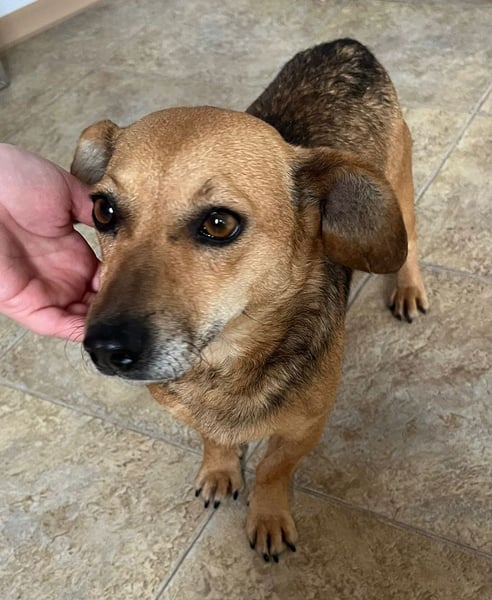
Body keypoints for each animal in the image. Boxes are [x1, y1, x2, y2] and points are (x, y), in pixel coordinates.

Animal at [71, 38, 428, 562]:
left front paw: (268, 516)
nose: (105, 350)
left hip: (399, 193)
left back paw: (408, 287)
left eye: (219, 224)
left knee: (410, 245)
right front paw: (221, 469)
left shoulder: (304, 427)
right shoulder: (189, 412)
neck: (223, 365)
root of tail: (345, 45)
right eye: (103, 210)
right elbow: (213, 439)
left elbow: (272, 469)